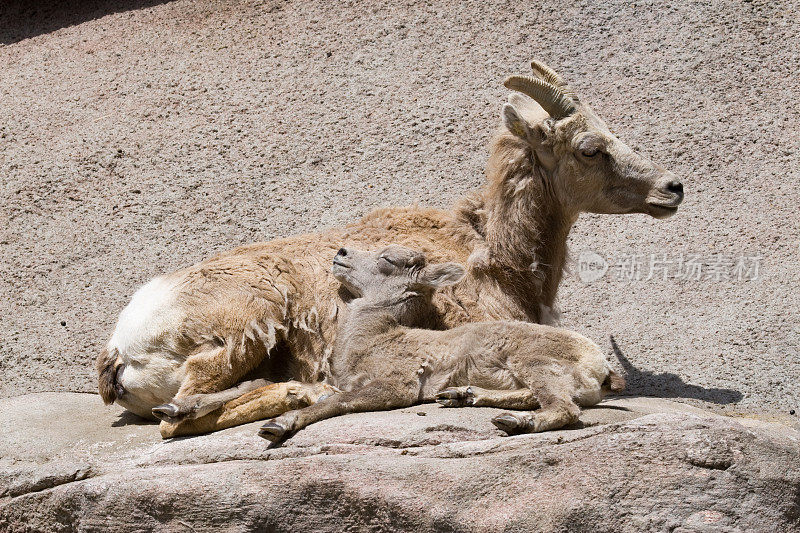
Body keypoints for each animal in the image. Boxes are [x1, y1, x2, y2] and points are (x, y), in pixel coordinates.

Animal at [256, 243, 624, 442]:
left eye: (387, 260)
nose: (341, 253)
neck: (372, 339)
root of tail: (601, 366)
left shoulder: (395, 386)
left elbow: (336, 402)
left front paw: (275, 427)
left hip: (535, 362)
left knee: (563, 407)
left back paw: (515, 423)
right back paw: (461, 396)